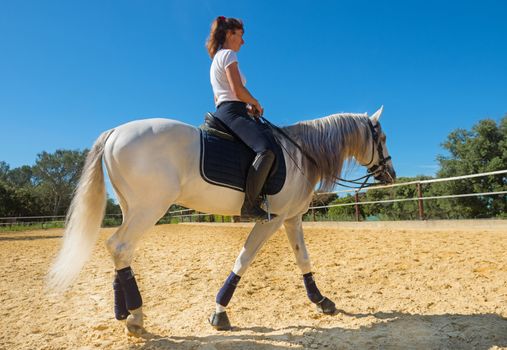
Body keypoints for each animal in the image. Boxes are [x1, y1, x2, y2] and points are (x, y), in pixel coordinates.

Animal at [46, 106, 396, 334]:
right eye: (382, 139)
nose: (391, 174)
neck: (301, 154)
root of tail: (115, 132)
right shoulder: (271, 220)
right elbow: (244, 259)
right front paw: (220, 313)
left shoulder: (292, 219)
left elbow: (303, 260)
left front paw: (322, 301)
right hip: (149, 208)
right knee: (120, 246)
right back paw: (136, 317)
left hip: (133, 208)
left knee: (118, 250)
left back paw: (123, 313)